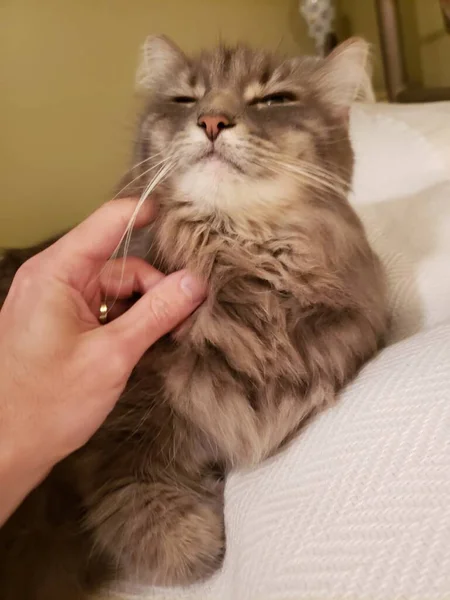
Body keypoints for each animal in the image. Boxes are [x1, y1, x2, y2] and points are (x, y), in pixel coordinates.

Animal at [0, 35, 386, 596]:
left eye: (274, 99)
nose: (213, 121)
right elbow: (153, 520)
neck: (235, 253)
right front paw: (206, 539)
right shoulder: (116, 436)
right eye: (186, 99)